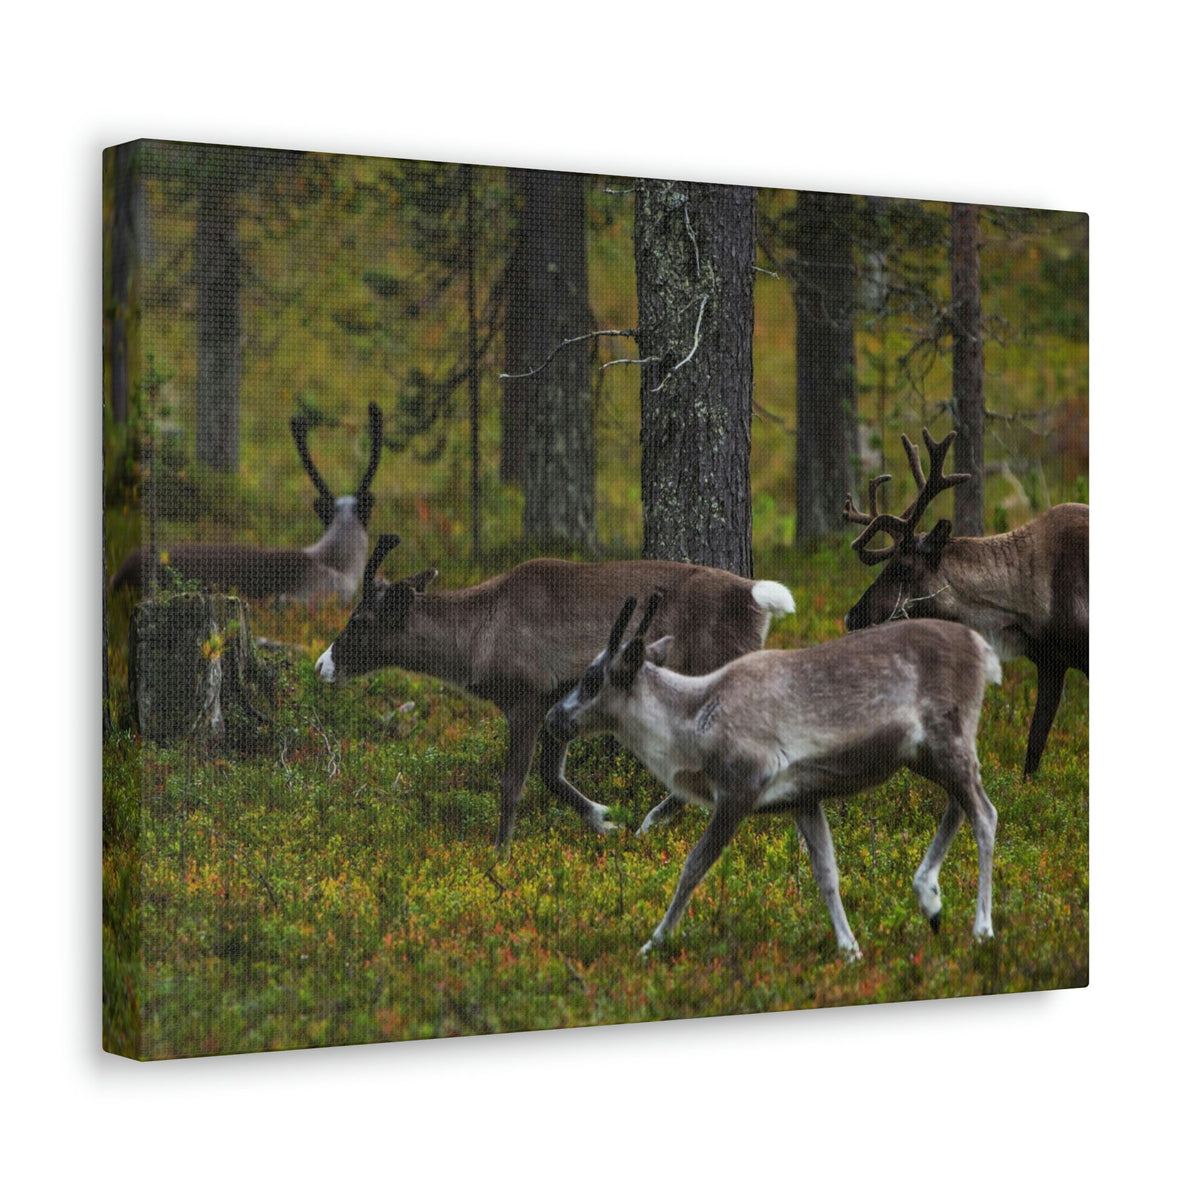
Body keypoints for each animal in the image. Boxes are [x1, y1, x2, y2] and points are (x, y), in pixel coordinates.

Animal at [314, 534, 797, 850]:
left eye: (359, 620)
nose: (322, 665)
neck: (477, 638)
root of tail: (755, 595)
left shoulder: (525, 700)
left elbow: (513, 783)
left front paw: (500, 854)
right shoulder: (554, 703)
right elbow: (550, 774)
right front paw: (603, 821)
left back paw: (654, 821)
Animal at [546, 594, 1002, 958]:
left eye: (591, 679)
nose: (553, 718)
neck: (691, 724)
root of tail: (983, 648)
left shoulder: (739, 788)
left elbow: (693, 867)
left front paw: (652, 944)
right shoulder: (802, 798)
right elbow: (827, 873)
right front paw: (850, 948)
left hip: (948, 737)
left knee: (985, 814)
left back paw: (982, 928)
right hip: (925, 753)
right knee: (960, 804)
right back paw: (930, 899)